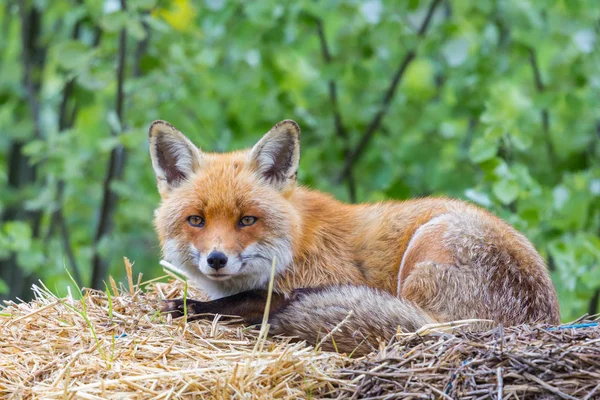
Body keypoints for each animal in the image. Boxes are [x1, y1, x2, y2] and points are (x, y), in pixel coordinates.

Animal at [149, 118, 556, 354]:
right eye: (196, 220)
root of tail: (542, 320)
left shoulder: (325, 278)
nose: (216, 259)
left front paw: (189, 307)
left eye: (247, 220)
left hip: (428, 253)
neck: (295, 243)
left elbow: (245, 303)